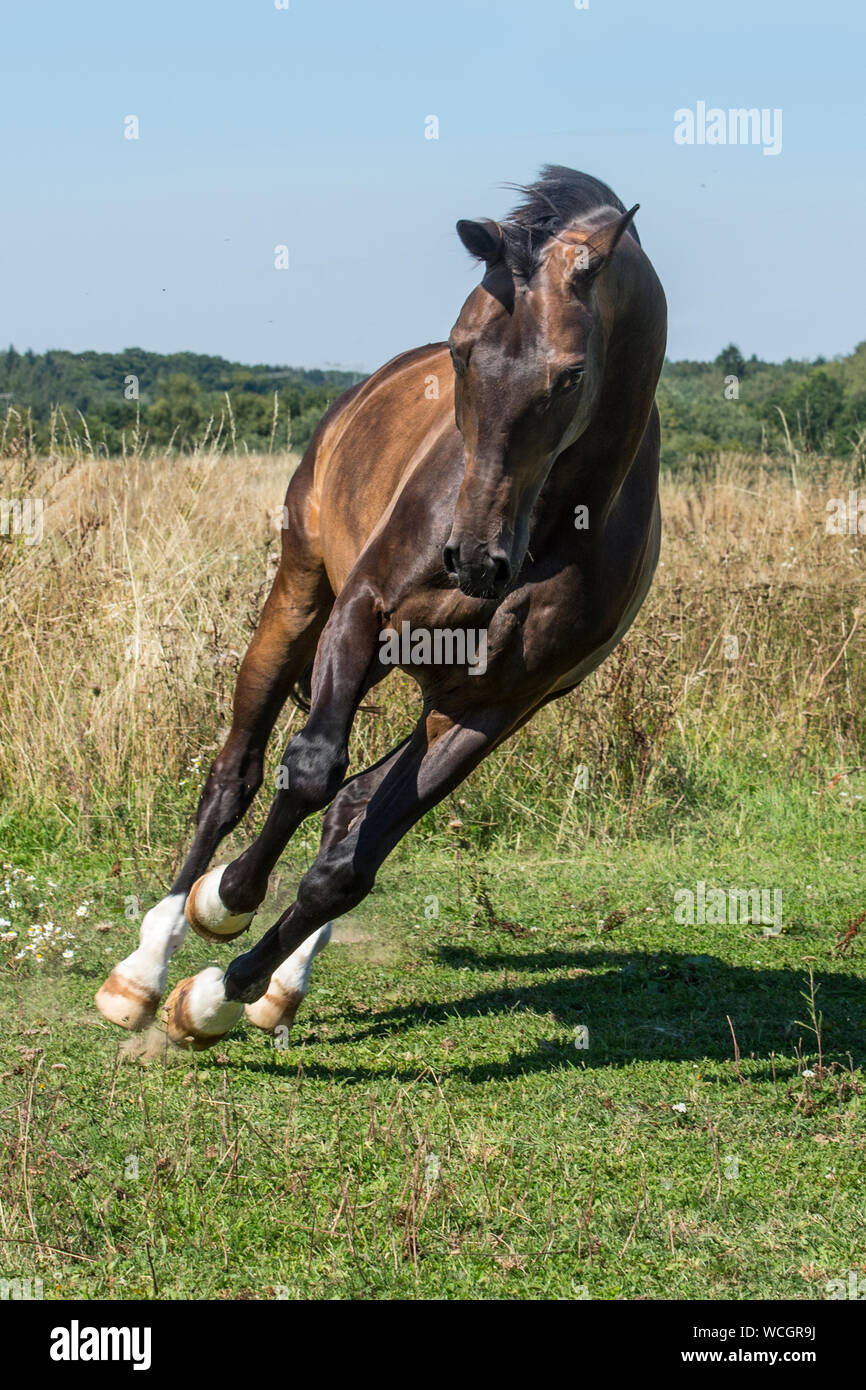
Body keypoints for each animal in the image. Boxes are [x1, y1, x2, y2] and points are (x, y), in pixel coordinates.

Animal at [94, 168, 667, 1045]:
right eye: (463, 351)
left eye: (571, 375)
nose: (472, 558)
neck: (551, 527)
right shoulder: (362, 611)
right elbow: (306, 771)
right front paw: (223, 904)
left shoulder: (492, 708)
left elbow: (345, 866)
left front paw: (218, 997)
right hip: (303, 596)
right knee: (237, 772)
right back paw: (147, 963)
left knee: (352, 811)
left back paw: (275, 987)